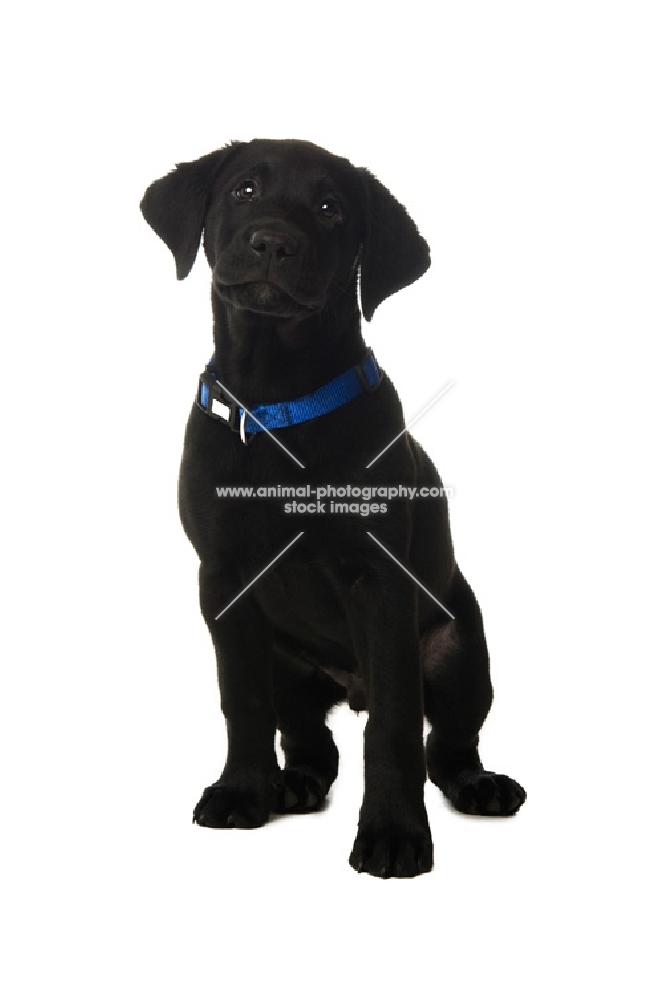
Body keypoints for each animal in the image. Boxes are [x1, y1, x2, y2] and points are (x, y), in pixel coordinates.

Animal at [140, 139, 524, 876]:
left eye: (329, 208)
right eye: (244, 190)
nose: (271, 242)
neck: (277, 403)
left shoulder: (378, 581)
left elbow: (395, 726)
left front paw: (394, 834)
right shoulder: (223, 582)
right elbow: (242, 701)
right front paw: (241, 793)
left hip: (461, 650)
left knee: (448, 743)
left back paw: (480, 785)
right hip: (288, 665)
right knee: (309, 742)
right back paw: (289, 785)